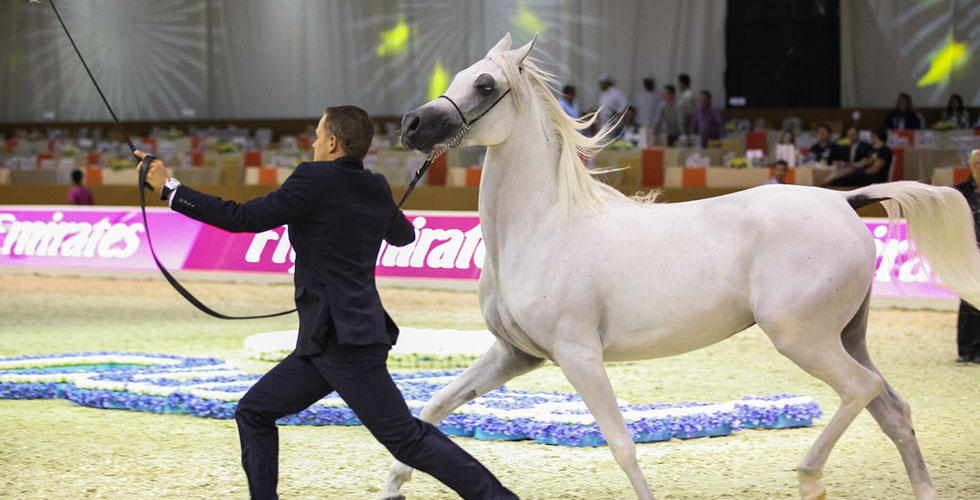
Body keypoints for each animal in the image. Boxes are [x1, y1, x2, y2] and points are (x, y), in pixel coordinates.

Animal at [382, 33, 980, 498]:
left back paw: (809, 476)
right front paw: (393, 487)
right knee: (893, 409)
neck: (543, 226)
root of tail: (844, 202)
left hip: (801, 337)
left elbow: (621, 443)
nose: (411, 125)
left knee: (861, 389)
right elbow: (432, 408)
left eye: (484, 85)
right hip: (847, 336)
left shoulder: (578, 355)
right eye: (460, 76)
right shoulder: (516, 355)